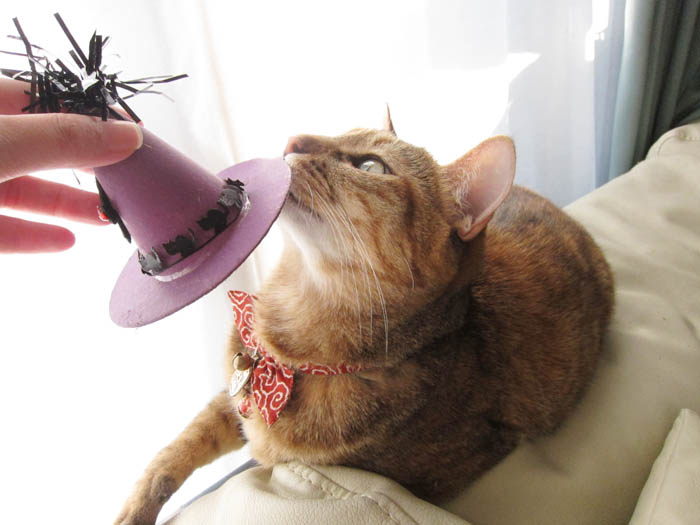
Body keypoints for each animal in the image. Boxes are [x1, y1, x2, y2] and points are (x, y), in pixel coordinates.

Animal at [115, 115, 614, 525]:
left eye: (372, 166)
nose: (293, 138)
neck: (289, 357)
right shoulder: (232, 396)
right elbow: (174, 454)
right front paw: (134, 508)